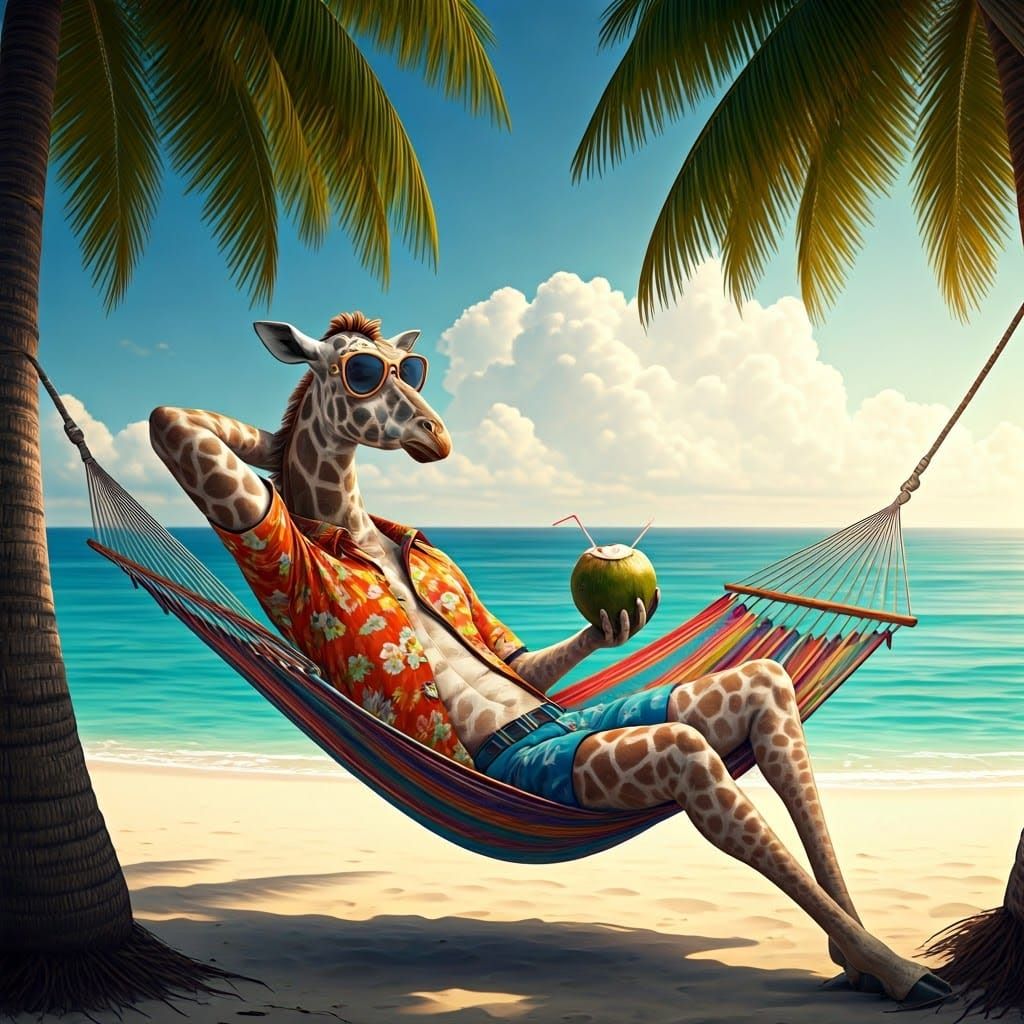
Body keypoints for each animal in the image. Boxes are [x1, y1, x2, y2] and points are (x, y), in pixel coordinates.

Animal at [149, 312, 949, 1009]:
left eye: (409, 367)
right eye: (361, 374)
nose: (437, 431)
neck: (353, 528)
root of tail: (547, 730)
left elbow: (516, 654)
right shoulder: (261, 527)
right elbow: (170, 421)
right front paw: (266, 446)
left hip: (629, 712)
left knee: (767, 681)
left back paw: (861, 955)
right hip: (574, 762)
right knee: (693, 753)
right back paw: (891, 967)